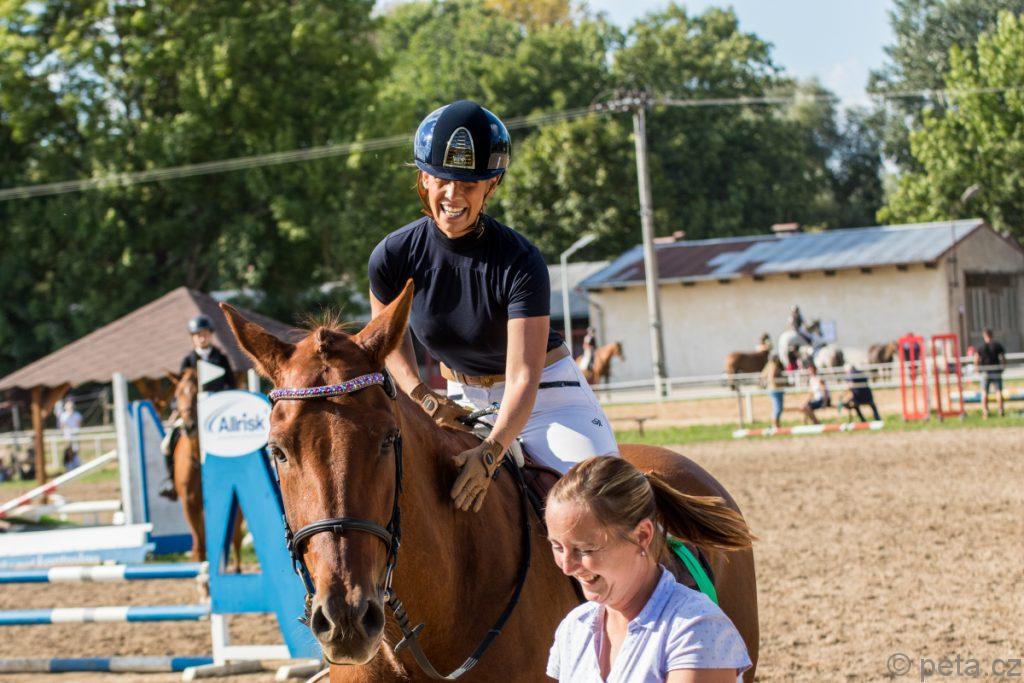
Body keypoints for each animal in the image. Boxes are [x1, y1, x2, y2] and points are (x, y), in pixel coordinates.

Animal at [167, 368, 243, 571]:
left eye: (197, 395)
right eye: (177, 395)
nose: (189, 427)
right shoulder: (189, 504)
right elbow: (199, 544)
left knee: (236, 537)